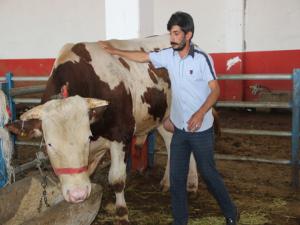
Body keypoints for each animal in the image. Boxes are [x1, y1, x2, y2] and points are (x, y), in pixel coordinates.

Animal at [7, 34, 200, 223]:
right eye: (49, 144)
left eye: (86, 137)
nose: (78, 195)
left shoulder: (121, 136)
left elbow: (117, 179)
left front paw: (122, 213)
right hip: (162, 117)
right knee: (170, 142)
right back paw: (168, 182)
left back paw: (191, 184)